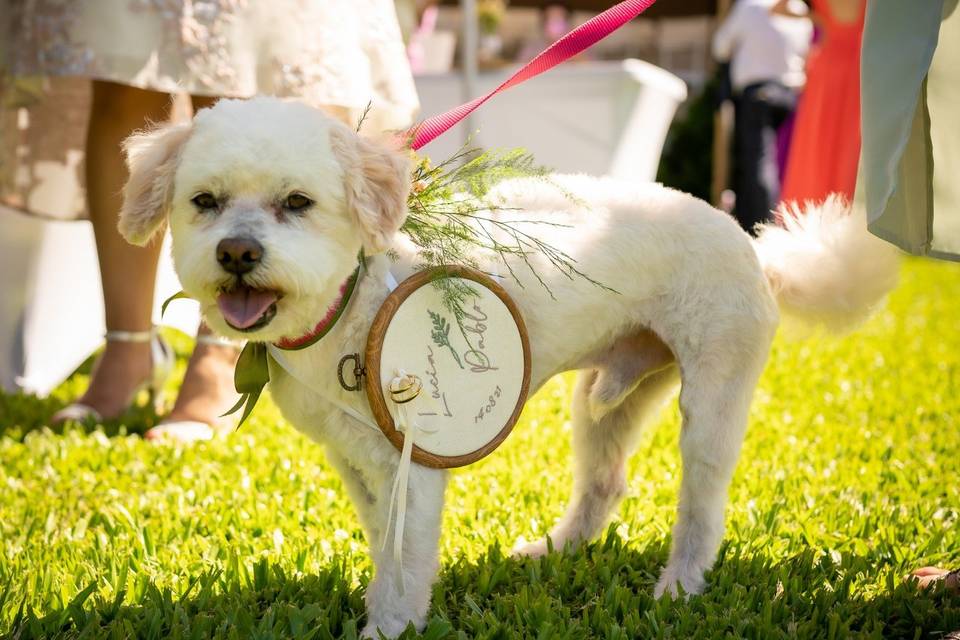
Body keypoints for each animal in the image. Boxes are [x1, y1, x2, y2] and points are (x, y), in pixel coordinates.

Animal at [118, 97, 900, 636]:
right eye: (205, 201)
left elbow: (404, 561)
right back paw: (553, 551)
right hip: (608, 401)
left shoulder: (413, 462)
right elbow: (384, 547)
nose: (238, 253)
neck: (353, 298)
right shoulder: (358, 461)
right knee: (604, 482)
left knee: (702, 507)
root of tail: (756, 247)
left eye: (297, 202)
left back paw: (678, 587)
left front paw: (390, 626)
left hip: (712, 394)